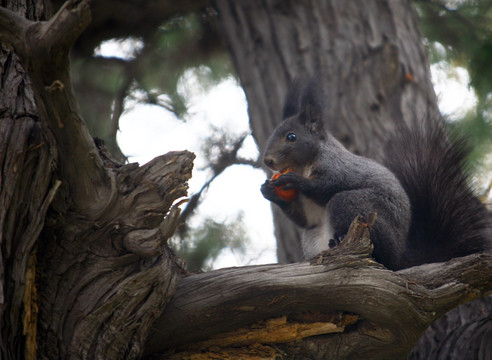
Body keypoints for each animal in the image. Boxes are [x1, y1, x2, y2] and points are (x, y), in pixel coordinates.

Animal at [260, 79, 490, 270]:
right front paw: (268, 191)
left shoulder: (338, 167)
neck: (304, 165)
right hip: (312, 236)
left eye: (291, 137)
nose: (267, 161)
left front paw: (294, 180)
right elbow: (305, 218)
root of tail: (399, 257)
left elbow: (326, 185)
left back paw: (342, 240)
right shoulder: (309, 212)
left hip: (356, 206)